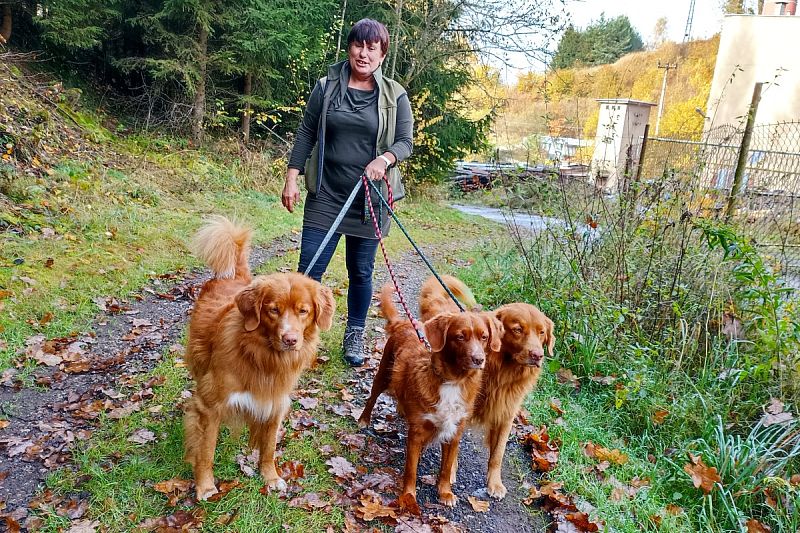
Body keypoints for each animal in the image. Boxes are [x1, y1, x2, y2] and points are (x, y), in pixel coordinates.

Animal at [184, 216, 334, 498]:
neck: (261, 356)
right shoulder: (210, 405)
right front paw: (205, 485)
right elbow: (206, 450)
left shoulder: (275, 402)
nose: (290, 340)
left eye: (304, 311)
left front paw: (270, 477)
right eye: (273, 310)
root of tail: (235, 275)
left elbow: (269, 447)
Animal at [358, 284, 500, 504]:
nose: (479, 359)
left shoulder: (455, 432)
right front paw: (408, 496)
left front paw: (445, 492)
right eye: (460, 336)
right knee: (372, 398)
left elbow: (446, 468)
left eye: (484, 337)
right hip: (383, 375)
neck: (453, 381)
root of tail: (405, 322)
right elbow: (411, 469)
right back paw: (364, 419)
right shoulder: (416, 432)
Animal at [418, 274, 556, 498]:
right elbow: (453, 446)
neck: (502, 372)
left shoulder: (506, 414)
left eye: (542, 332)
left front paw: (495, 483)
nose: (538, 355)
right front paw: (450, 471)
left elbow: (497, 454)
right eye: (518, 330)